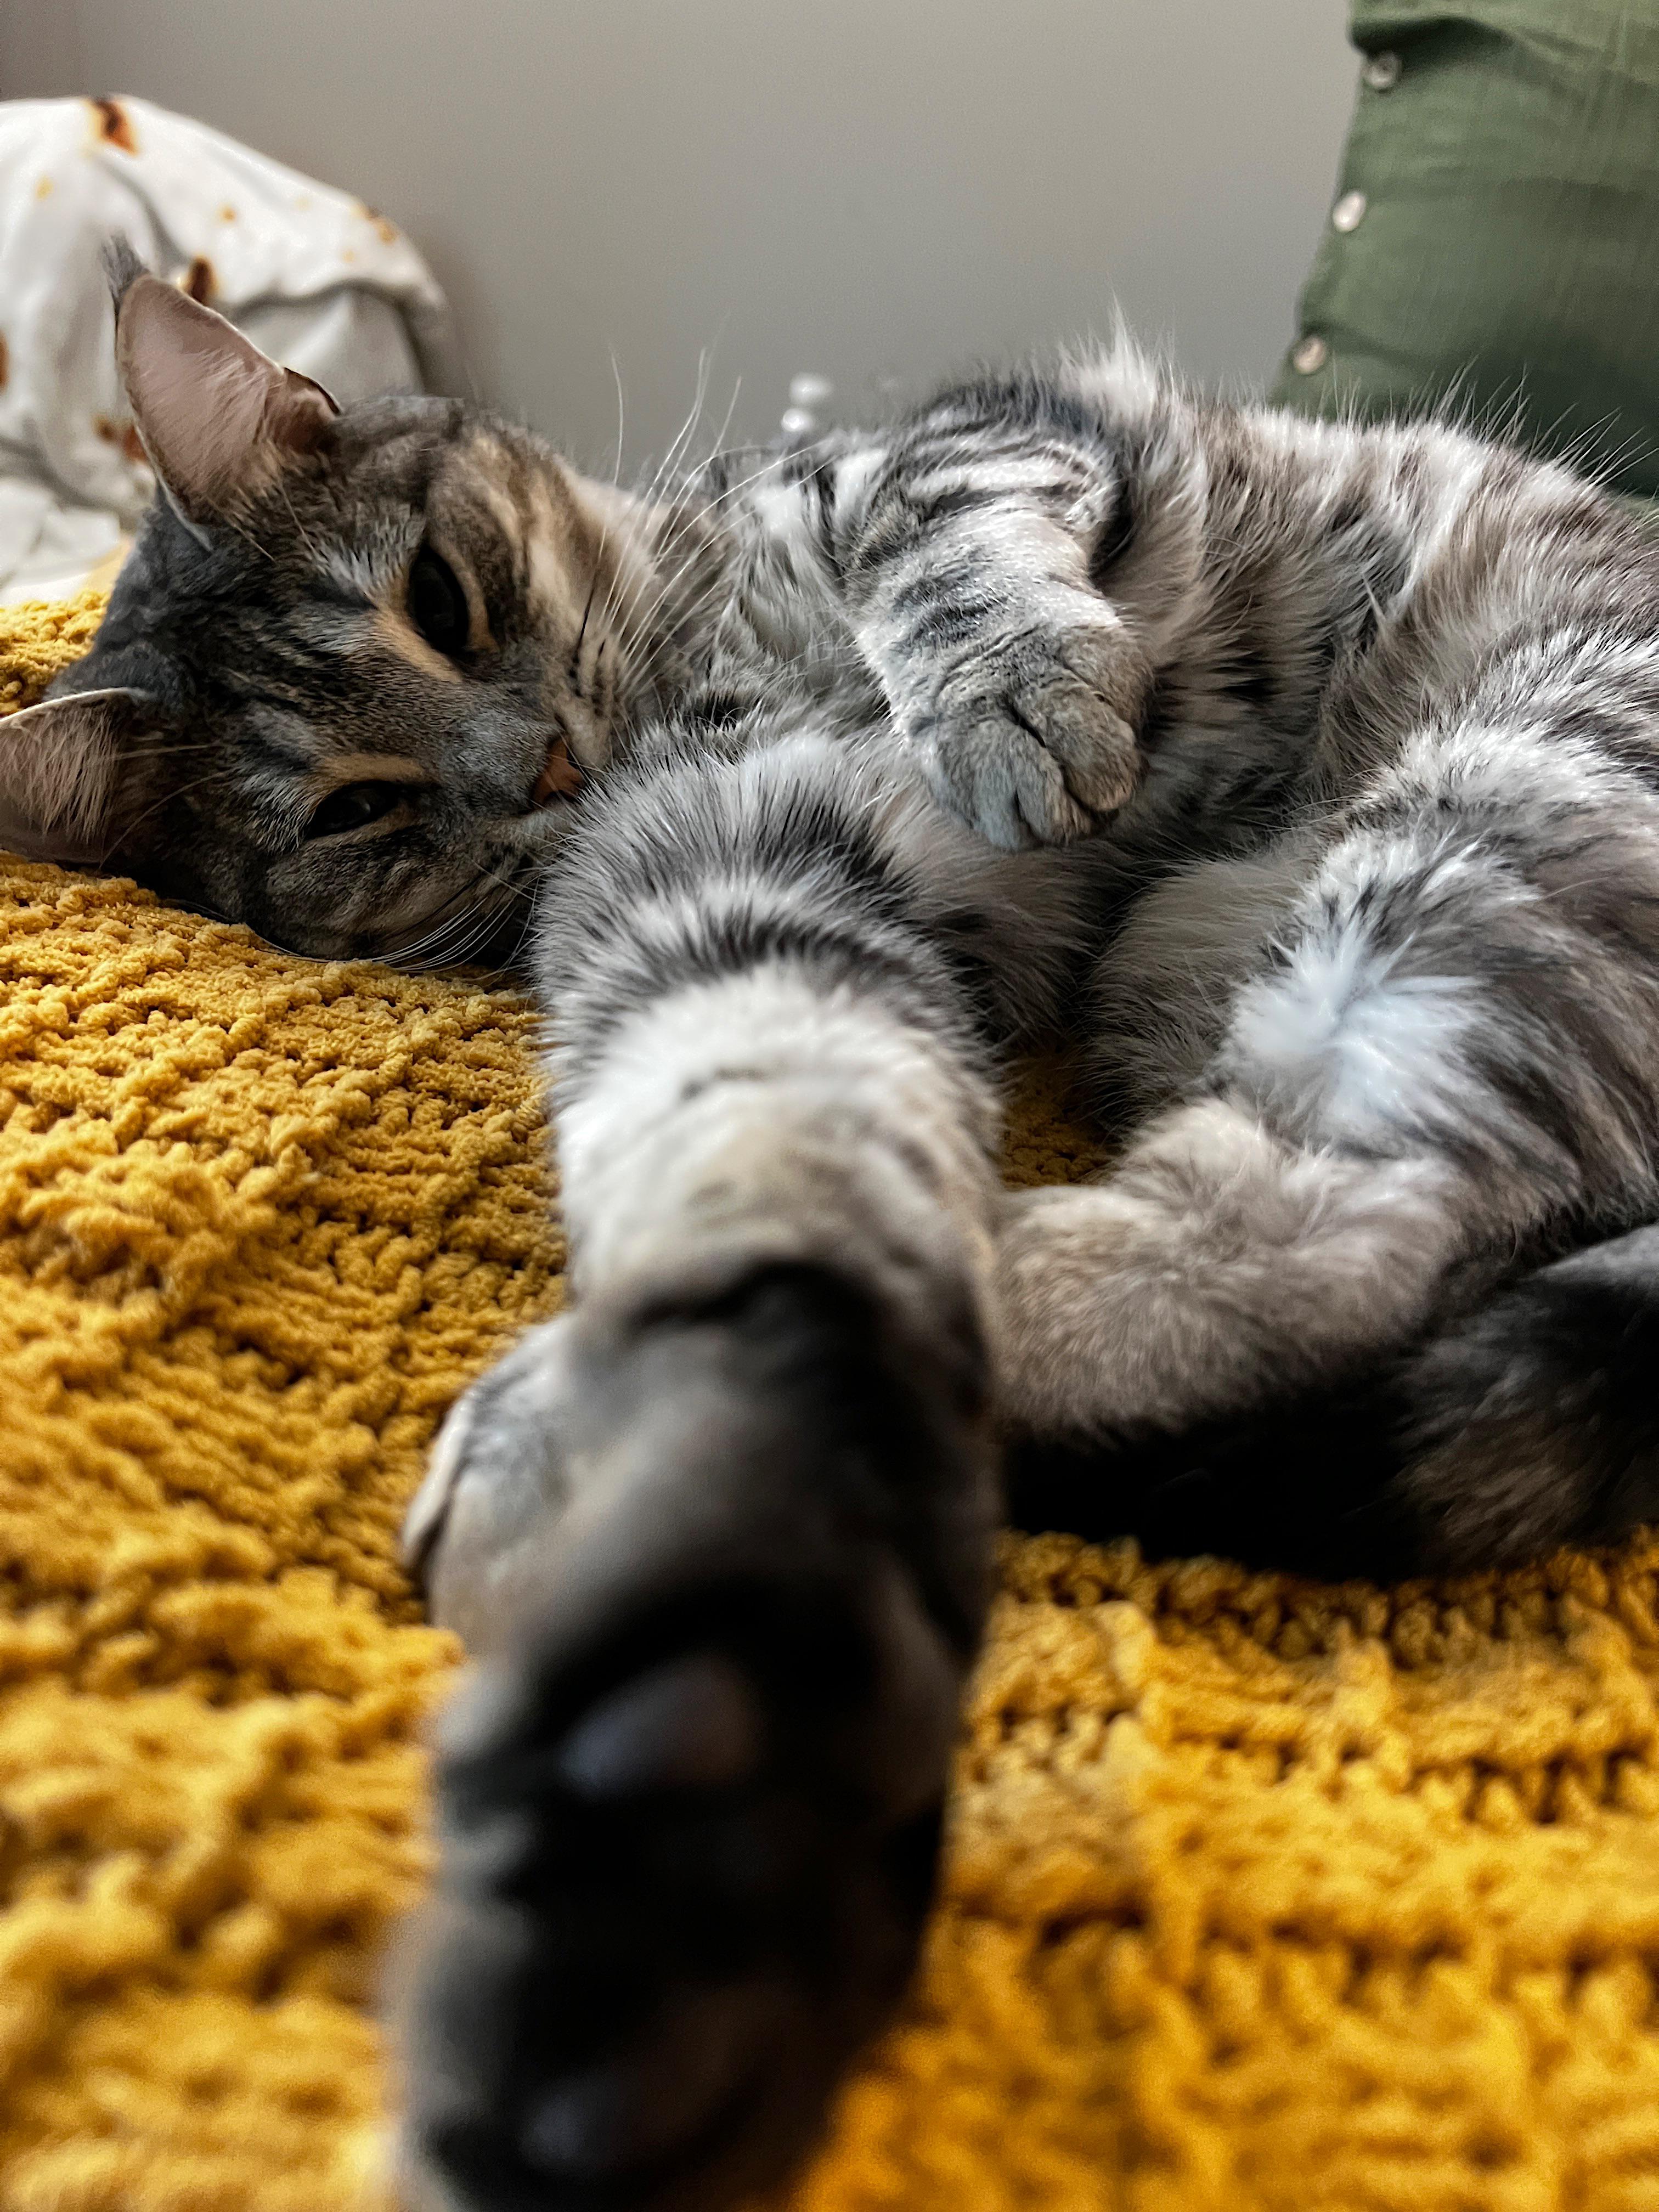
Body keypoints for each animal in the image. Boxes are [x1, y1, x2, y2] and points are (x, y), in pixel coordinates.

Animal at [9, 263, 1659, 2212]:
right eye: (358, 810)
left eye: (440, 600)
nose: (539, 760)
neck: (684, 663)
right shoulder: (718, 877)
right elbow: (763, 1134)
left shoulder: (963, 445)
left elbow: (933, 534)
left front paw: (1020, 695)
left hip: (1535, 764)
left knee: (1386, 1205)